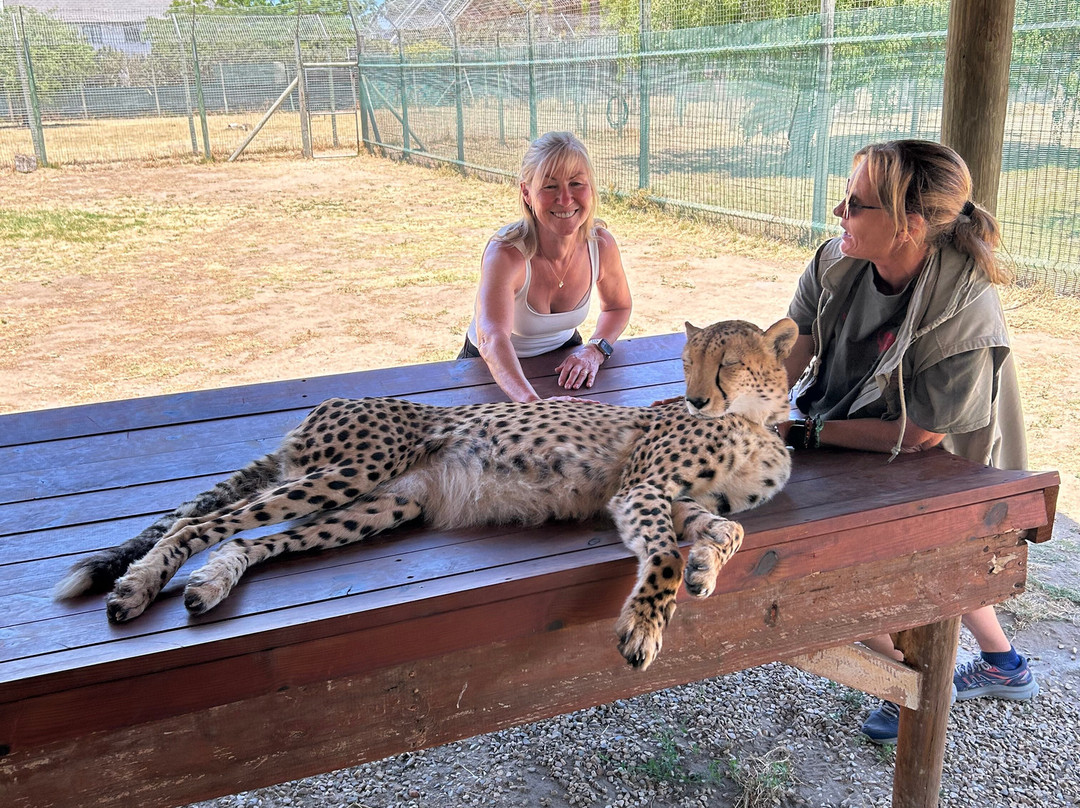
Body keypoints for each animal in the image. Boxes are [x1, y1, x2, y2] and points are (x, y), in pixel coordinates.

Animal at [55, 317, 797, 671]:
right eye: (688, 362)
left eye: (727, 362)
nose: (696, 398)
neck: (755, 422)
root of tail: (323, 407)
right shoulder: (640, 487)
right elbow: (663, 555)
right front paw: (646, 624)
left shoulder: (675, 499)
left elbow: (729, 530)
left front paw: (706, 568)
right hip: (350, 472)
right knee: (205, 522)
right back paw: (138, 585)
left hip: (380, 503)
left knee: (253, 537)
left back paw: (210, 583)